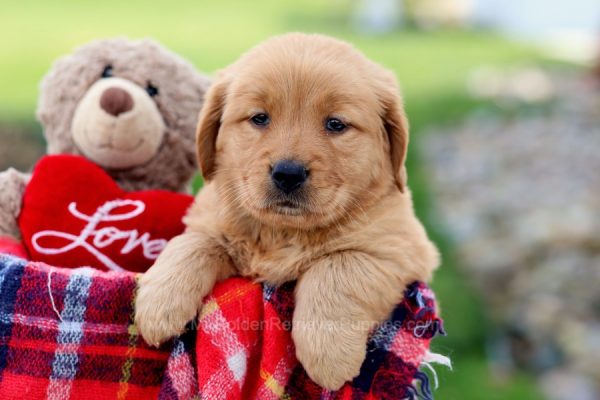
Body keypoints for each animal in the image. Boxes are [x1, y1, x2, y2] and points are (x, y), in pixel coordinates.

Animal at [135, 32, 436, 390]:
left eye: (336, 124)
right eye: (259, 118)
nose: (288, 173)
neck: (284, 232)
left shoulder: (401, 248)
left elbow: (339, 265)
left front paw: (329, 354)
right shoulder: (212, 222)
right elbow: (192, 242)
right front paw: (159, 302)